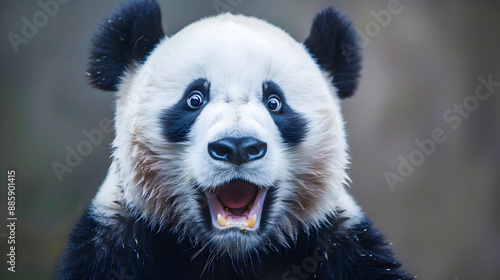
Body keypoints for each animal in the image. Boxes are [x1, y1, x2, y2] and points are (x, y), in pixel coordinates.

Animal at [57, 0, 414, 280]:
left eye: (275, 102)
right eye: (194, 99)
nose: (238, 147)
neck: (231, 254)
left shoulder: (340, 244)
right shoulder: (114, 242)